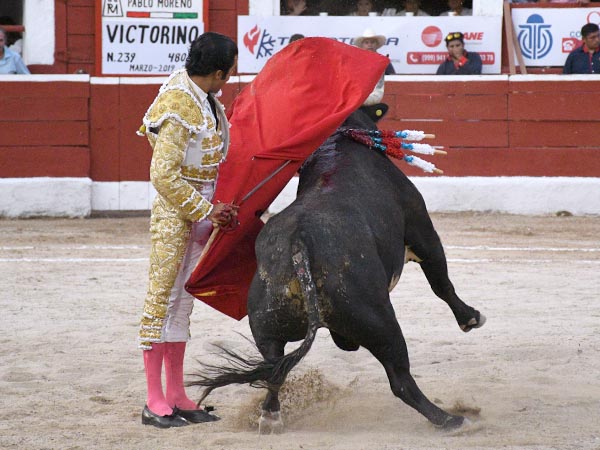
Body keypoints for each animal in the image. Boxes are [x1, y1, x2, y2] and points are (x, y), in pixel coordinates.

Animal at [190, 106, 486, 432]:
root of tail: (299, 242)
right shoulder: (422, 230)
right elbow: (441, 282)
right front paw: (471, 318)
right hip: (380, 321)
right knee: (400, 379)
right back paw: (451, 420)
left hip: (267, 325)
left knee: (274, 368)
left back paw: (270, 417)